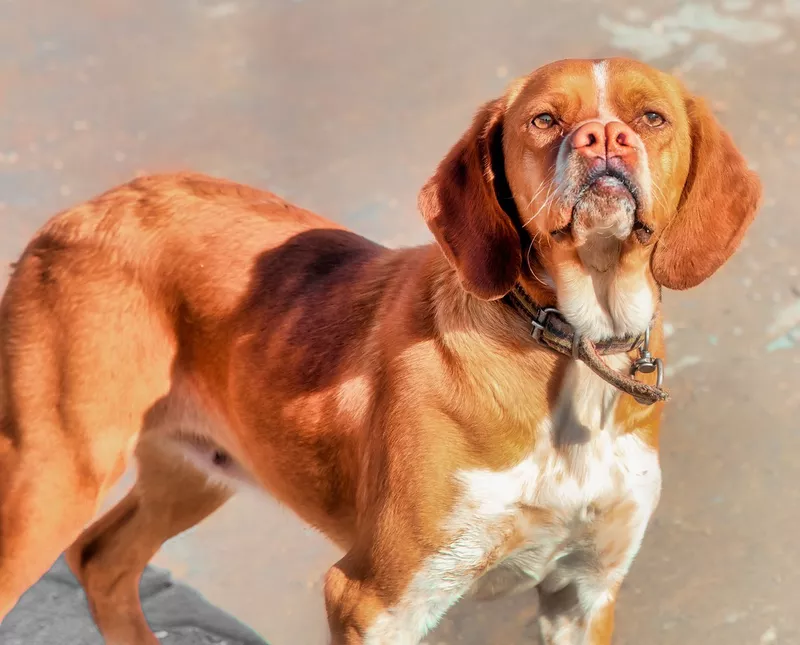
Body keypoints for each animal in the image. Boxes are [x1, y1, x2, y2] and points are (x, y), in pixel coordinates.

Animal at [0, 57, 764, 640]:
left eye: (652, 118)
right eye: (544, 120)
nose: (604, 137)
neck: (569, 343)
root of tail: (77, 213)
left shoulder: (582, 590)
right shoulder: (375, 598)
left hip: (193, 468)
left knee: (102, 559)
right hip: (55, 471)